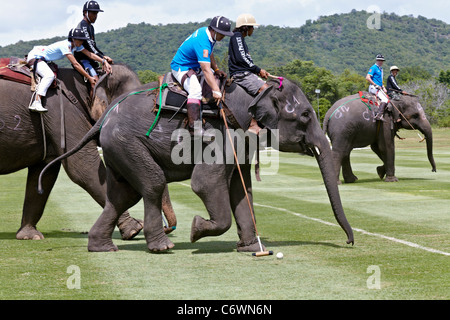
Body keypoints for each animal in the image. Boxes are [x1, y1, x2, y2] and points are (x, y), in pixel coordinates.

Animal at [0, 64, 174, 240]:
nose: (167, 228)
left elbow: (43, 174)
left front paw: (30, 235)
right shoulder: (61, 113)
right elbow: (84, 168)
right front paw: (134, 229)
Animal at [39, 77, 356, 252]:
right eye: (305, 115)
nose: (350, 242)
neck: (258, 90)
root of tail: (103, 119)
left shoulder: (240, 140)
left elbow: (241, 189)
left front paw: (252, 249)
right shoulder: (224, 134)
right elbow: (205, 183)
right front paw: (196, 230)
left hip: (119, 149)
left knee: (122, 195)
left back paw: (102, 248)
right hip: (127, 144)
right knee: (152, 184)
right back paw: (162, 247)